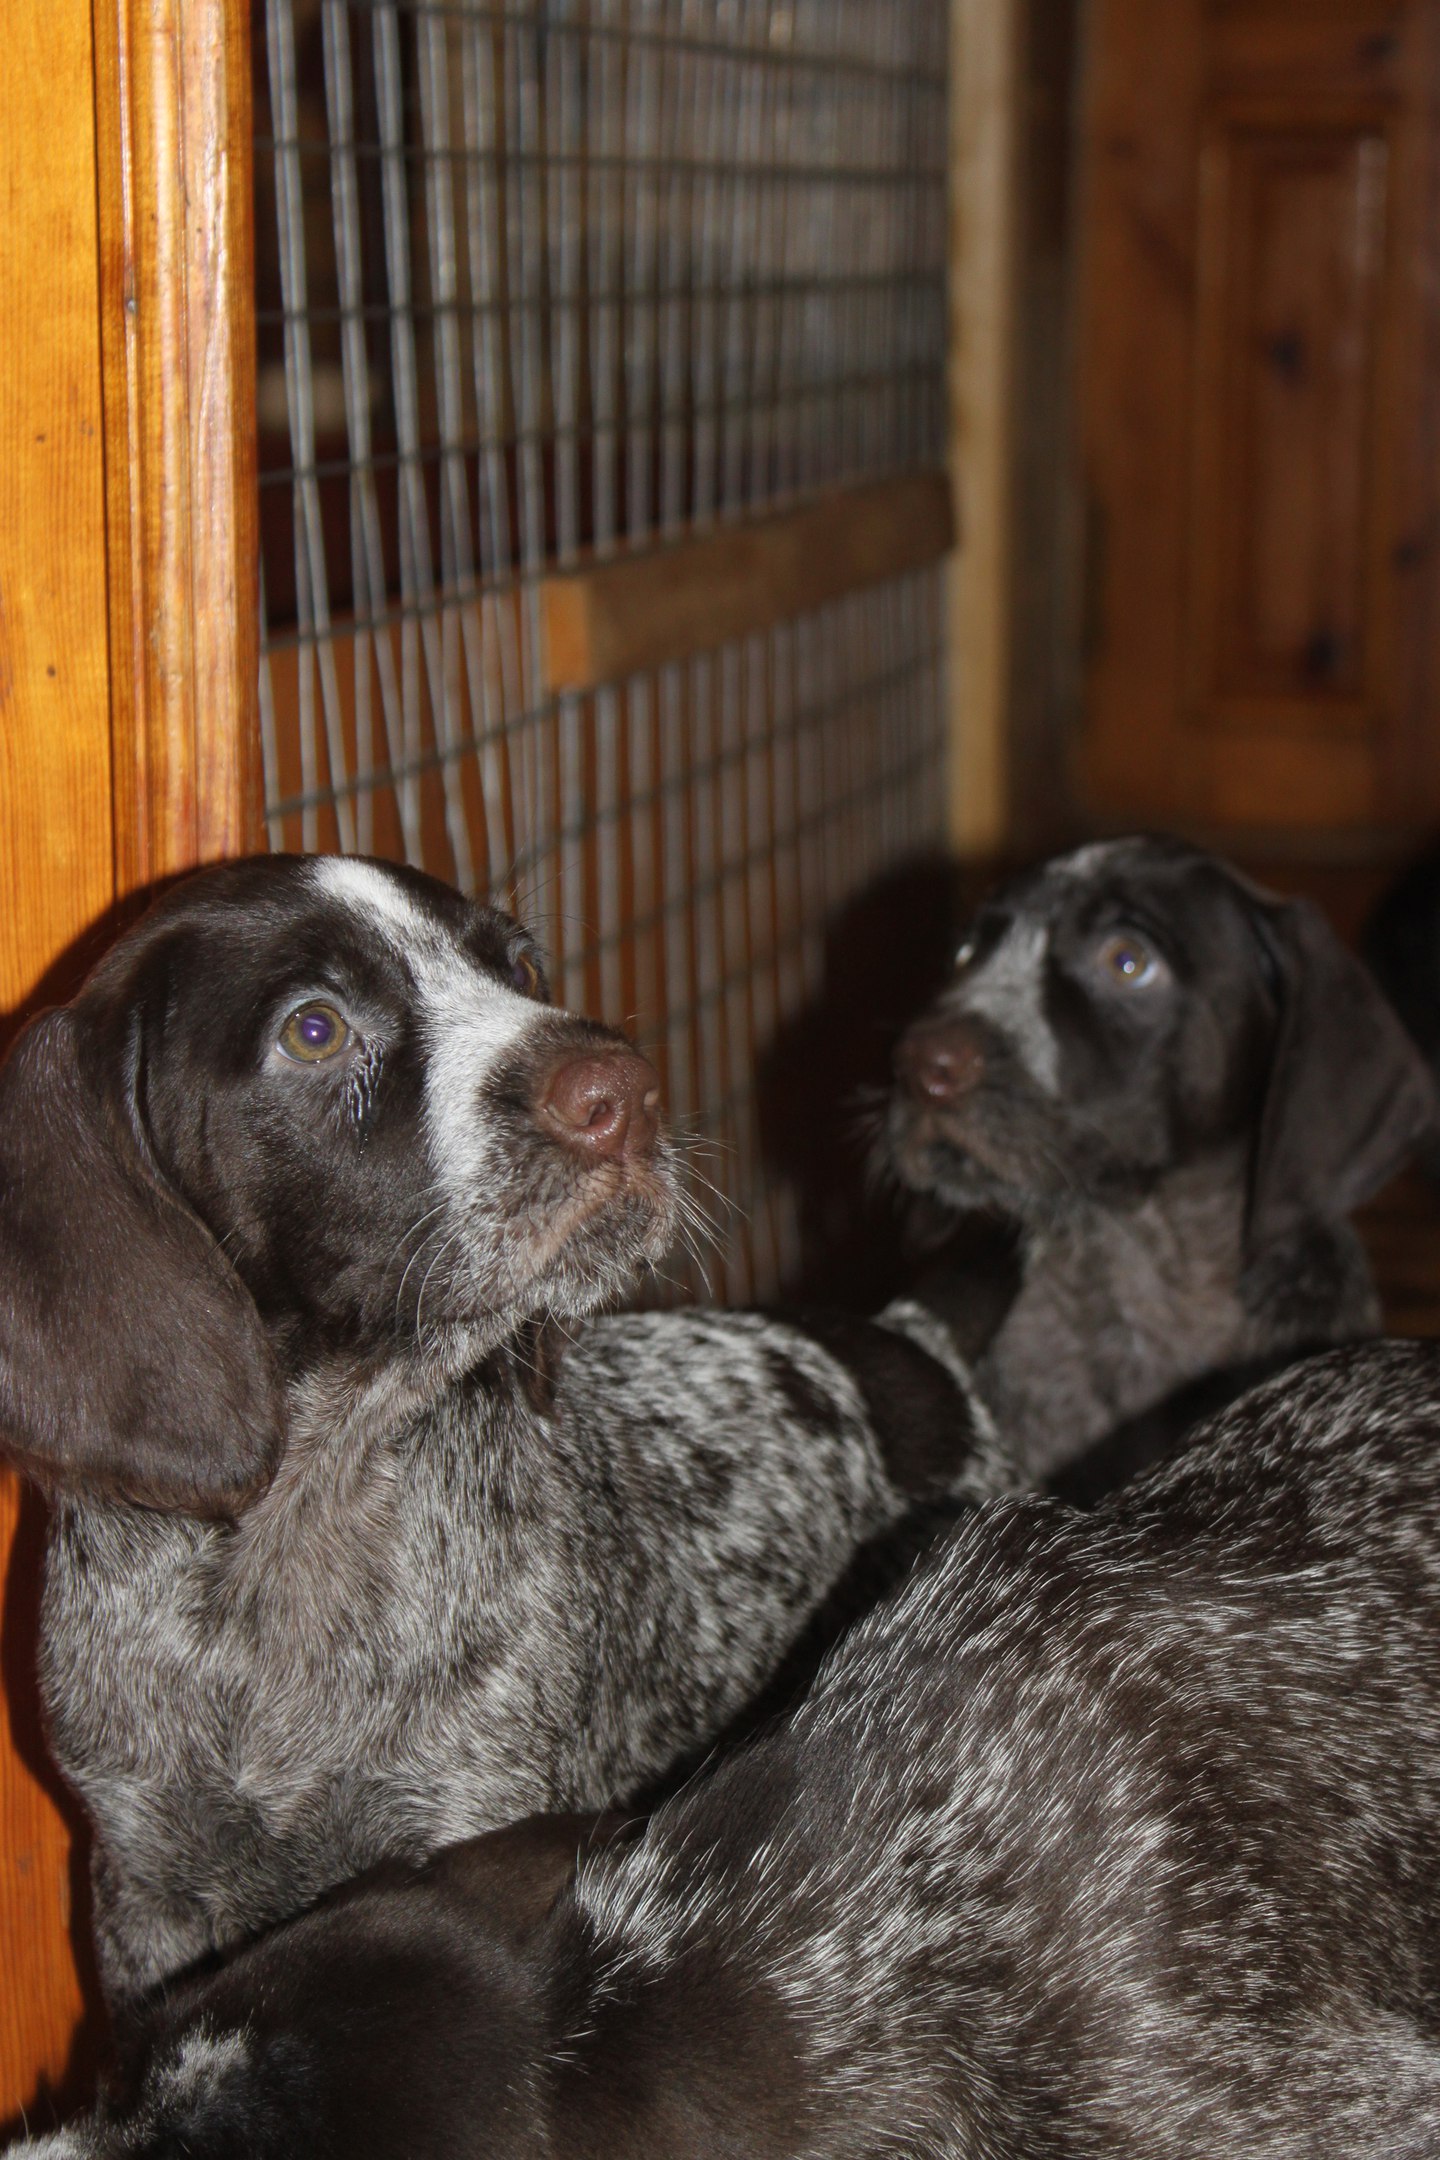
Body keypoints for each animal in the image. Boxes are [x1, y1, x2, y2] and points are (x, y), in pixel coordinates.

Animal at [0, 854, 1010, 2009]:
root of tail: (905, 1343)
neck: (303, 1521)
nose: (626, 1093)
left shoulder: (480, 1831)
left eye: (519, 968)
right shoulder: (148, 1893)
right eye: (315, 1029)